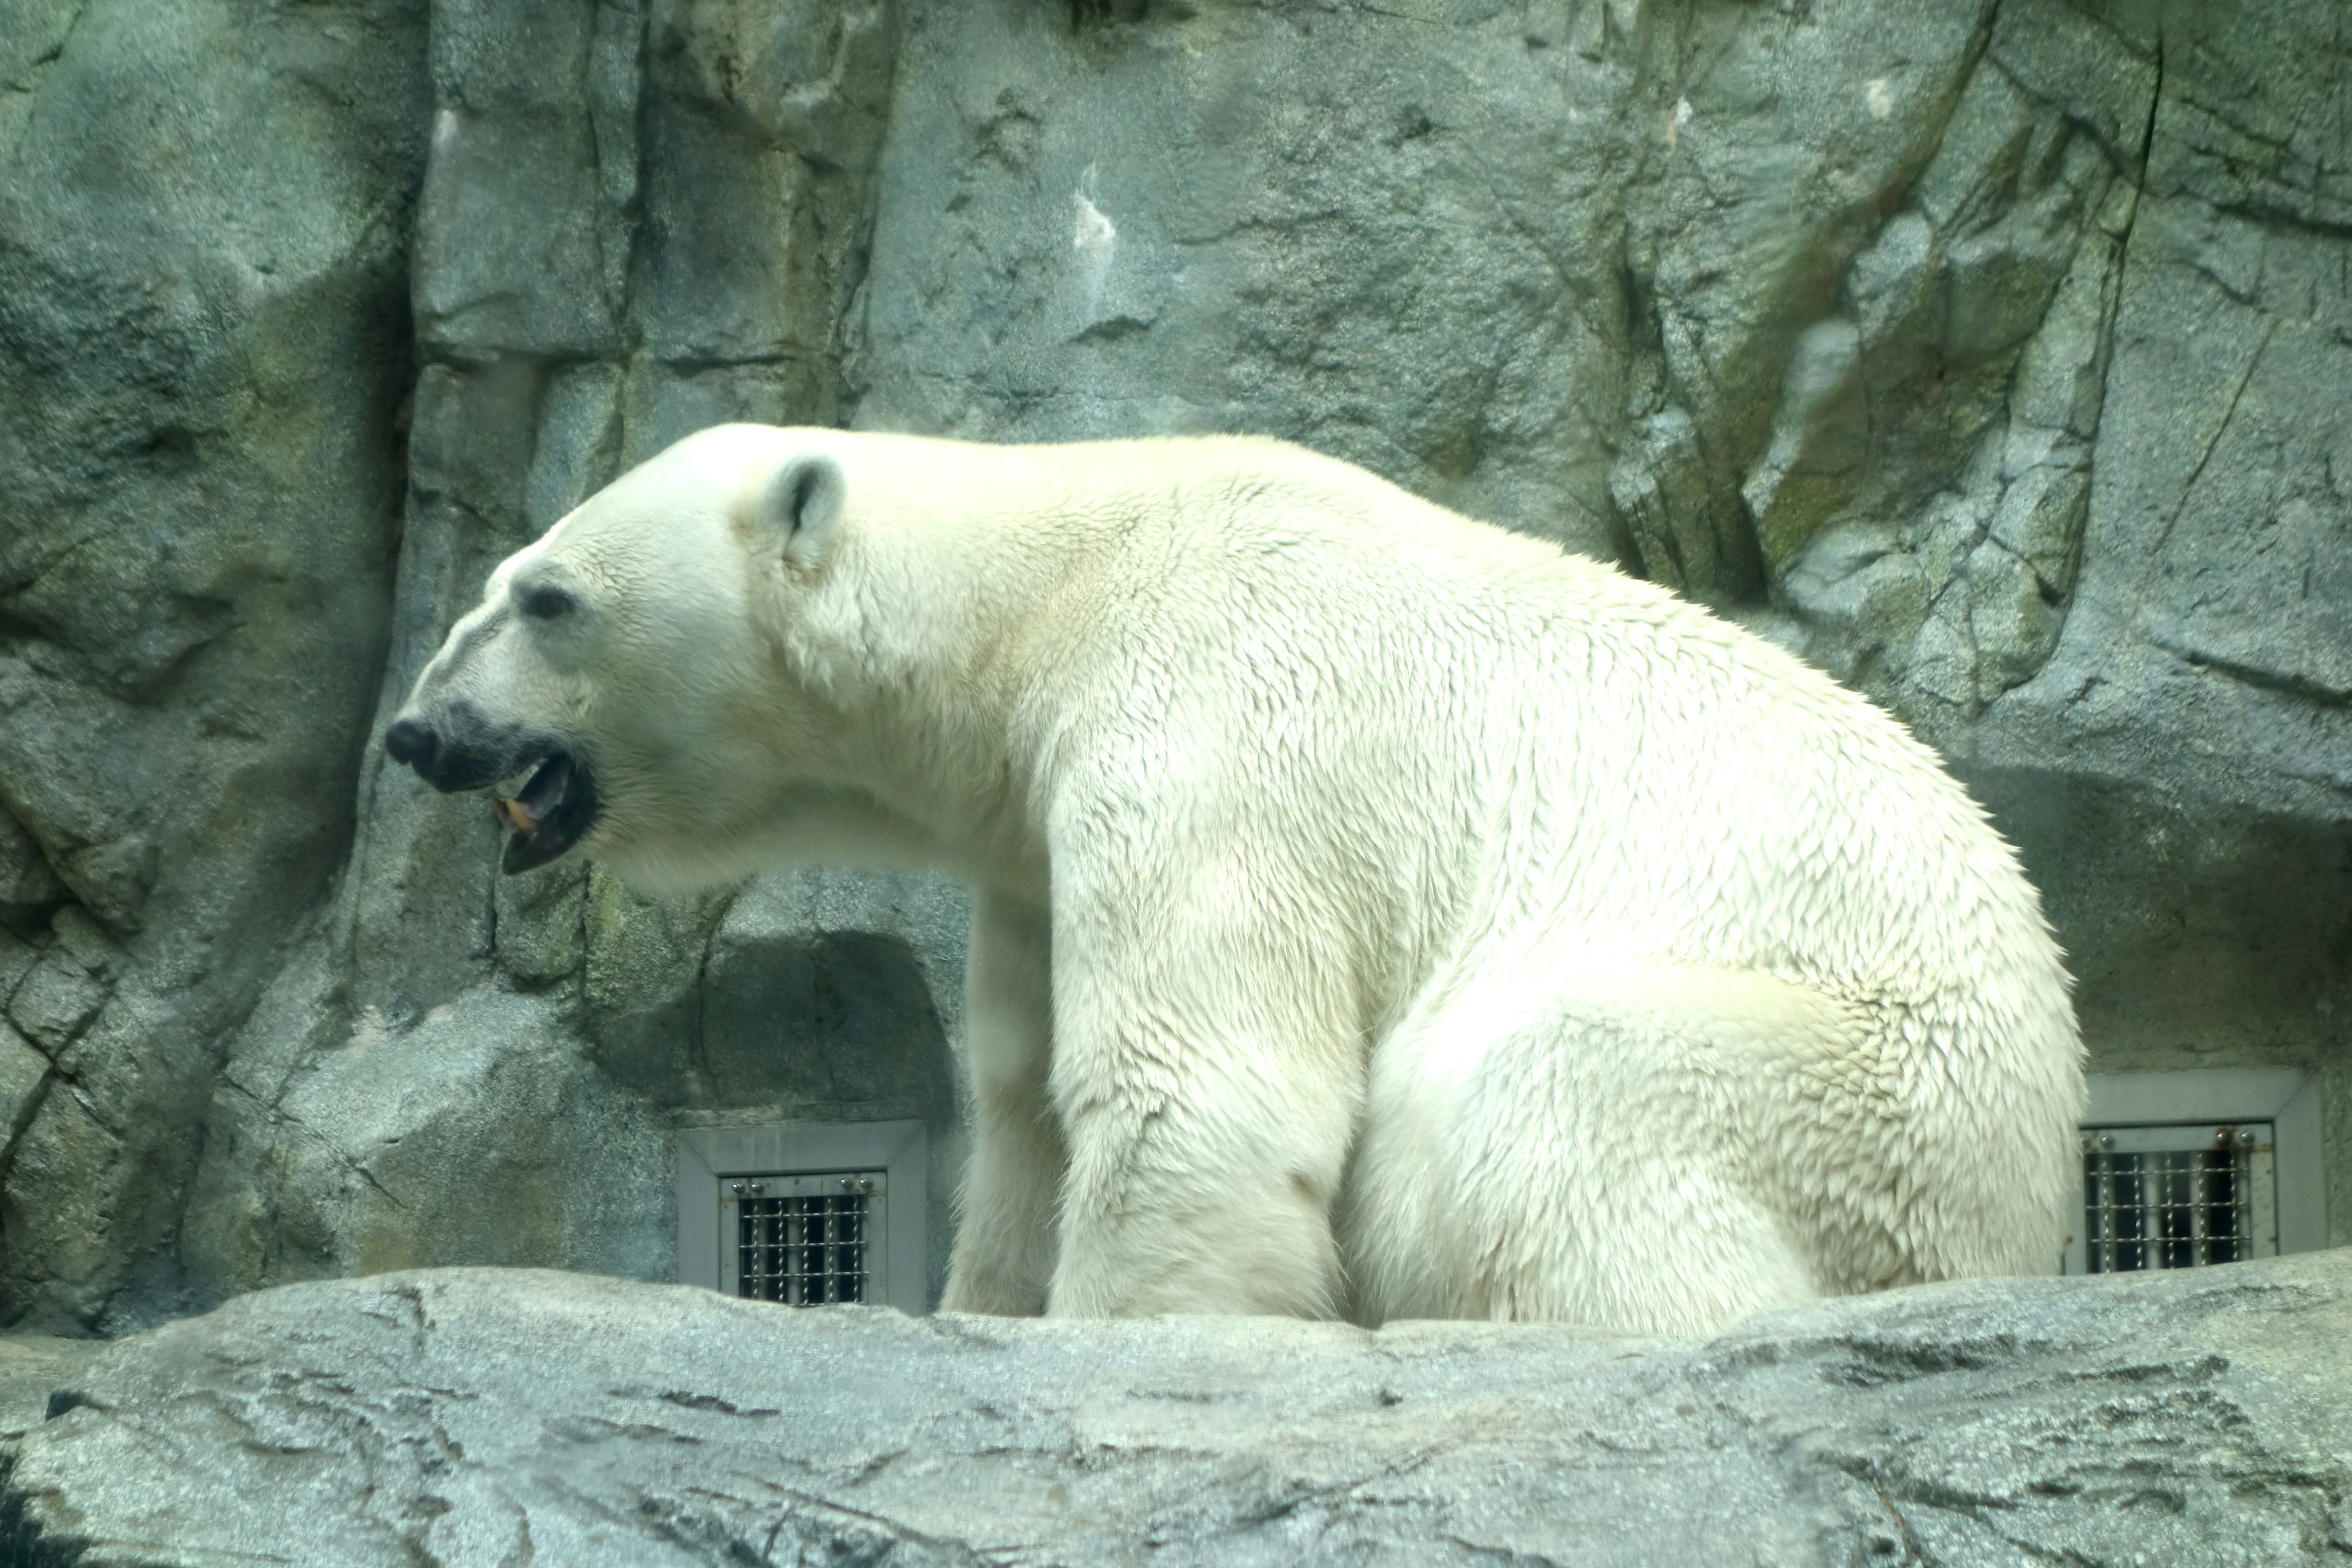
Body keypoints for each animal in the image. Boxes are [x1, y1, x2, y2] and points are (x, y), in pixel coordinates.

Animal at [381, 423, 2079, 1335]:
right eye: (501, 581)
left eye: (546, 594)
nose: (418, 728)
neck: (1053, 591)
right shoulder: (1029, 845)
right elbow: (1026, 1118)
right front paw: (985, 1306)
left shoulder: (1211, 732)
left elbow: (1195, 1089)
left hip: (1865, 1089)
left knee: (1541, 1093)